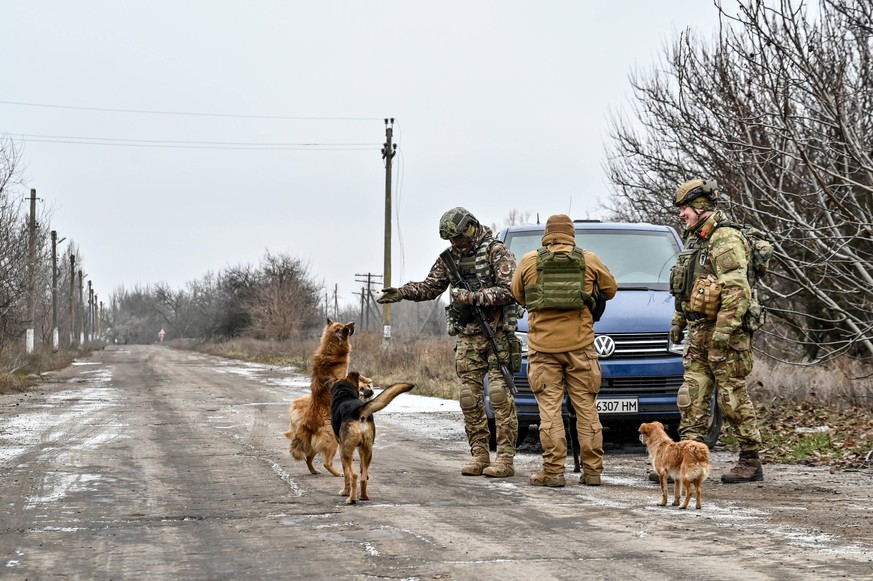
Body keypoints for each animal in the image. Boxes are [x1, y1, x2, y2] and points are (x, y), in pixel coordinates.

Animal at [282, 318, 358, 476]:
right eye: (345, 327)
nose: (353, 322)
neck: (331, 348)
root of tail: (308, 423)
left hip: (316, 445)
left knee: (308, 458)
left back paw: (314, 471)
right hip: (332, 440)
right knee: (326, 462)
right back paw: (337, 473)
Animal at [328, 372, 414, 502]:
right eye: (362, 388)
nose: (371, 392)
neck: (345, 394)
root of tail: (358, 411)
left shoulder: (342, 448)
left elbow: (346, 475)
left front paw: (345, 491)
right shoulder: (361, 449)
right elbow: (362, 468)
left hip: (345, 451)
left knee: (354, 476)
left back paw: (351, 499)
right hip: (368, 450)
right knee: (363, 478)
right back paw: (364, 496)